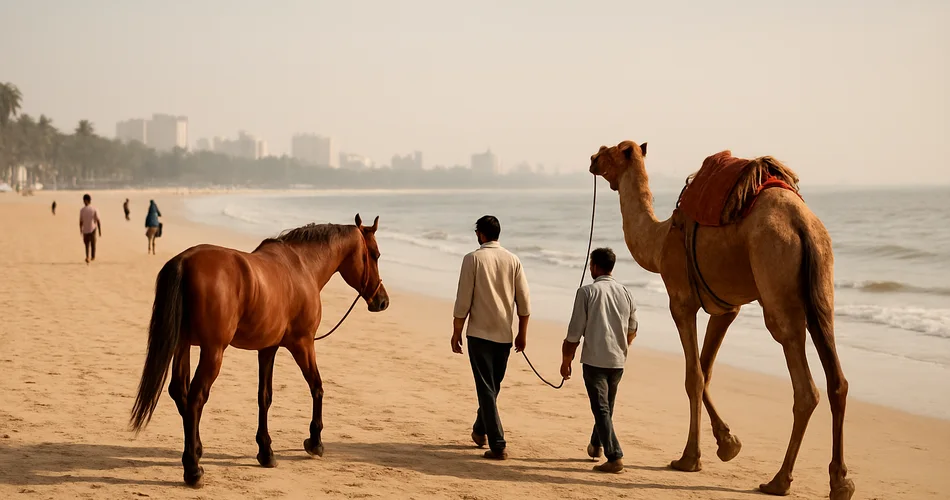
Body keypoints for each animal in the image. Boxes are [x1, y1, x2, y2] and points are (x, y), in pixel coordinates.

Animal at [129, 214, 390, 487]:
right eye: (375, 254)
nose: (382, 301)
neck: (302, 267)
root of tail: (185, 261)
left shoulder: (267, 348)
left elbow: (264, 397)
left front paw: (266, 451)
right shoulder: (303, 344)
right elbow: (316, 387)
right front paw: (315, 442)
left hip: (184, 345)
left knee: (180, 392)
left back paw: (197, 451)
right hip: (212, 351)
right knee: (195, 397)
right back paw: (192, 468)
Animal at [588, 141, 854, 500]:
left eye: (611, 151)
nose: (592, 160)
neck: (660, 239)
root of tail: (803, 225)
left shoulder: (681, 301)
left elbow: (693, 376)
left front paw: (689, 458)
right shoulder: (727, 308)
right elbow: (706, 370)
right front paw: (727, 443)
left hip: (777, 275)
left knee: (803, 383)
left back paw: (778, 480)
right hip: (821, 289)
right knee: (836, 378)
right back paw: (840, 482)